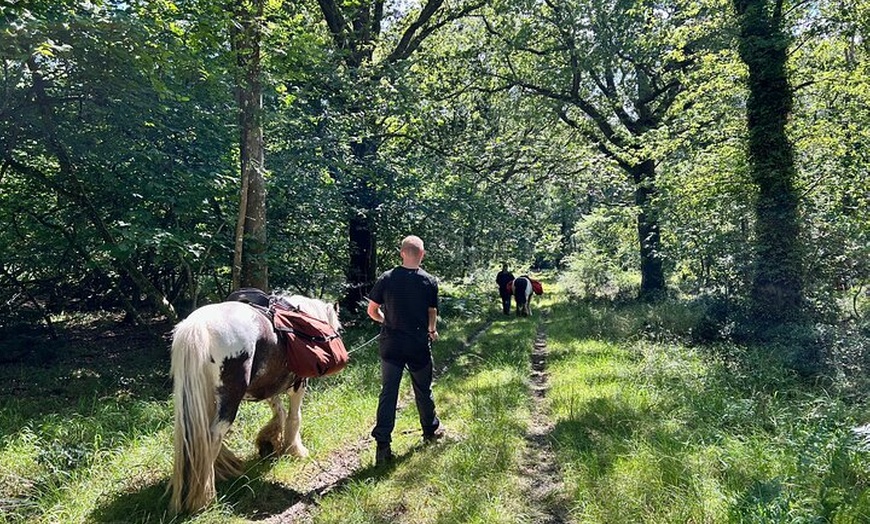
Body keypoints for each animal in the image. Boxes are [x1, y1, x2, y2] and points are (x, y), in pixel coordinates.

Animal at [169, 293, 341, 514]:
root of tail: (199, 325)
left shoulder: (266, 385)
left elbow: (279, 410)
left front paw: (269, 441)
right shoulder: (298, 384)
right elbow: (294, 417)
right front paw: (294, 449)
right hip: (229, 400)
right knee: (214, 435)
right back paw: (205, 497)